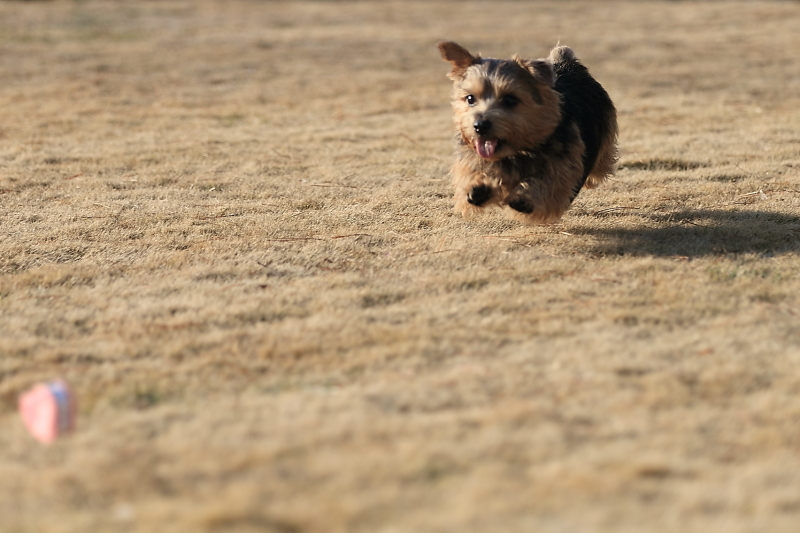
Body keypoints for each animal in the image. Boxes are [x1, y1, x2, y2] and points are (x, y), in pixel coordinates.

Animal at [438, 41, 620, 222]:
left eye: (510, 100)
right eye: (470, 98)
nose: (480, 125)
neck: (515, 152)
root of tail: (566, 63)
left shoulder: (564, 167)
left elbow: (550, 183)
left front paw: (525, 197)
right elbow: (470, 175)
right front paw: (480, 187)